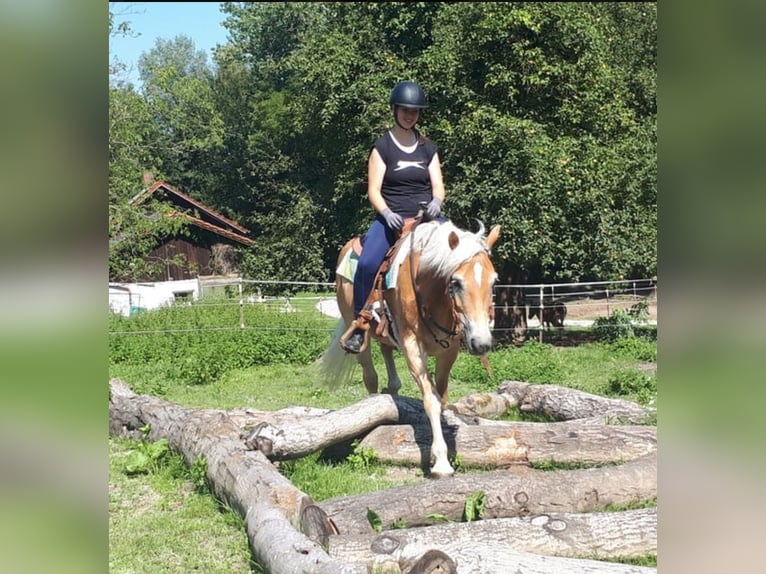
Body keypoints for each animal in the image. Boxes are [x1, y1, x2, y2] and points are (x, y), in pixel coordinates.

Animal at [320, 218, 500, 480]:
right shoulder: (412, 346)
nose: (481, 342)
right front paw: (441, 462)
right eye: (456, 283)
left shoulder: (449, 353)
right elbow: (431, 401)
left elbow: (442, 399)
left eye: (494, 281)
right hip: (357, 330)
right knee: (370, 377)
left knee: (387, 360)